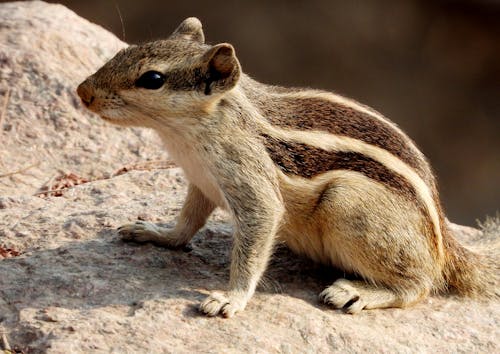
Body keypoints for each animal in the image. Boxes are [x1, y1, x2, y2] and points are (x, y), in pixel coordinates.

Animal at [76, 16, 498, 316]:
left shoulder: (251, 183)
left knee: (421, 285)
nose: (82, 92)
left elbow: (254, 241)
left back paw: (356, 293)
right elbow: (186, 223)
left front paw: (231, 298)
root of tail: (444, 242)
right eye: (126, 50)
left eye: (153, 79)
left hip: (348, 204)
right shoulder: (200, 182)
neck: (186, 135)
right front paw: (155, 232)